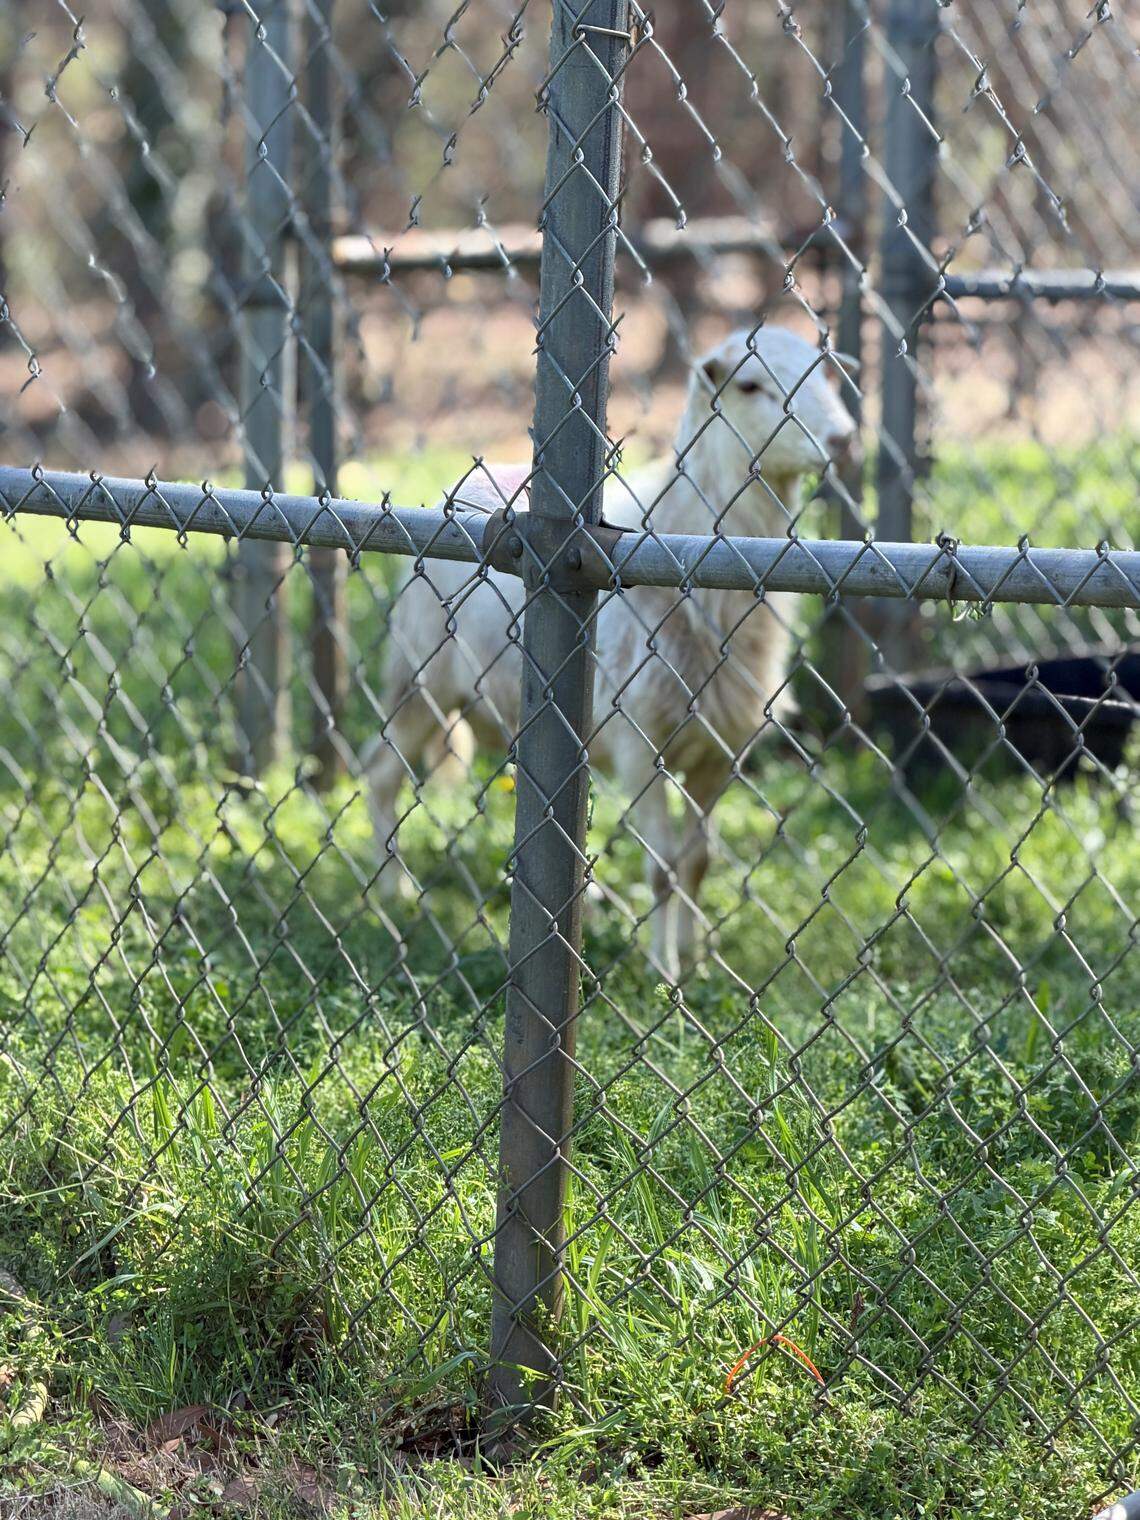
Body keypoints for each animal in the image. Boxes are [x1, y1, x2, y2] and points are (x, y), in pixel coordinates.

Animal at [363, 325, 858, 978]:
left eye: (826, 375)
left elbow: (697, 861)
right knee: (380, 774)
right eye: (750, 385)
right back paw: (390, 894)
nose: (843, 438)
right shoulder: (640, 741)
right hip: (420, 676)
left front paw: (695, 959)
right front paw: (663, 972)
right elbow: (664, 866)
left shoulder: (719, 750)